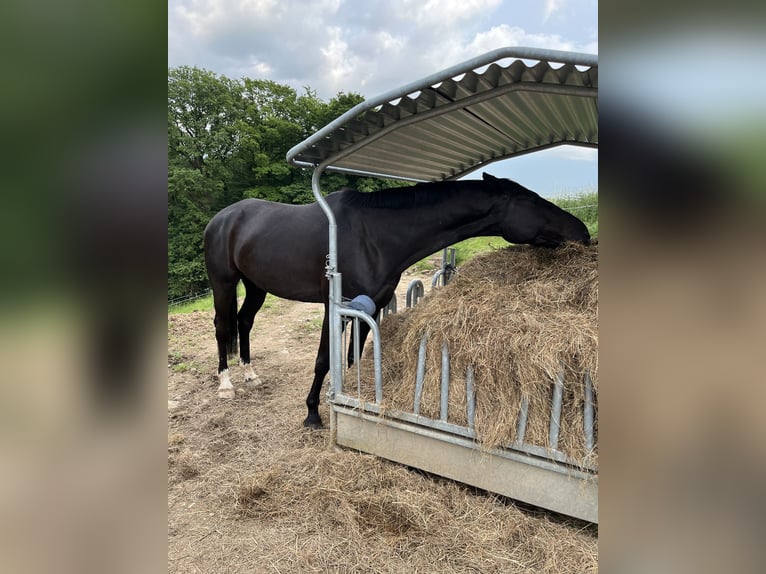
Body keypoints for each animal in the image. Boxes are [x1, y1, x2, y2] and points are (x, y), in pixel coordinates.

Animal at [206, 173, 592, 430]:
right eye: (530, 199)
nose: (583, 232)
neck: (373, 235)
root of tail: (222, 218)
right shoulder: (336, 306)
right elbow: (324, 360)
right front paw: (313, 412)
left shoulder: (371, 306)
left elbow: (352, 358)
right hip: (224, 283)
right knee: (223, 326)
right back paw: (226, 385)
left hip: (256, 285)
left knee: (244, 322)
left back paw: (251, 375)